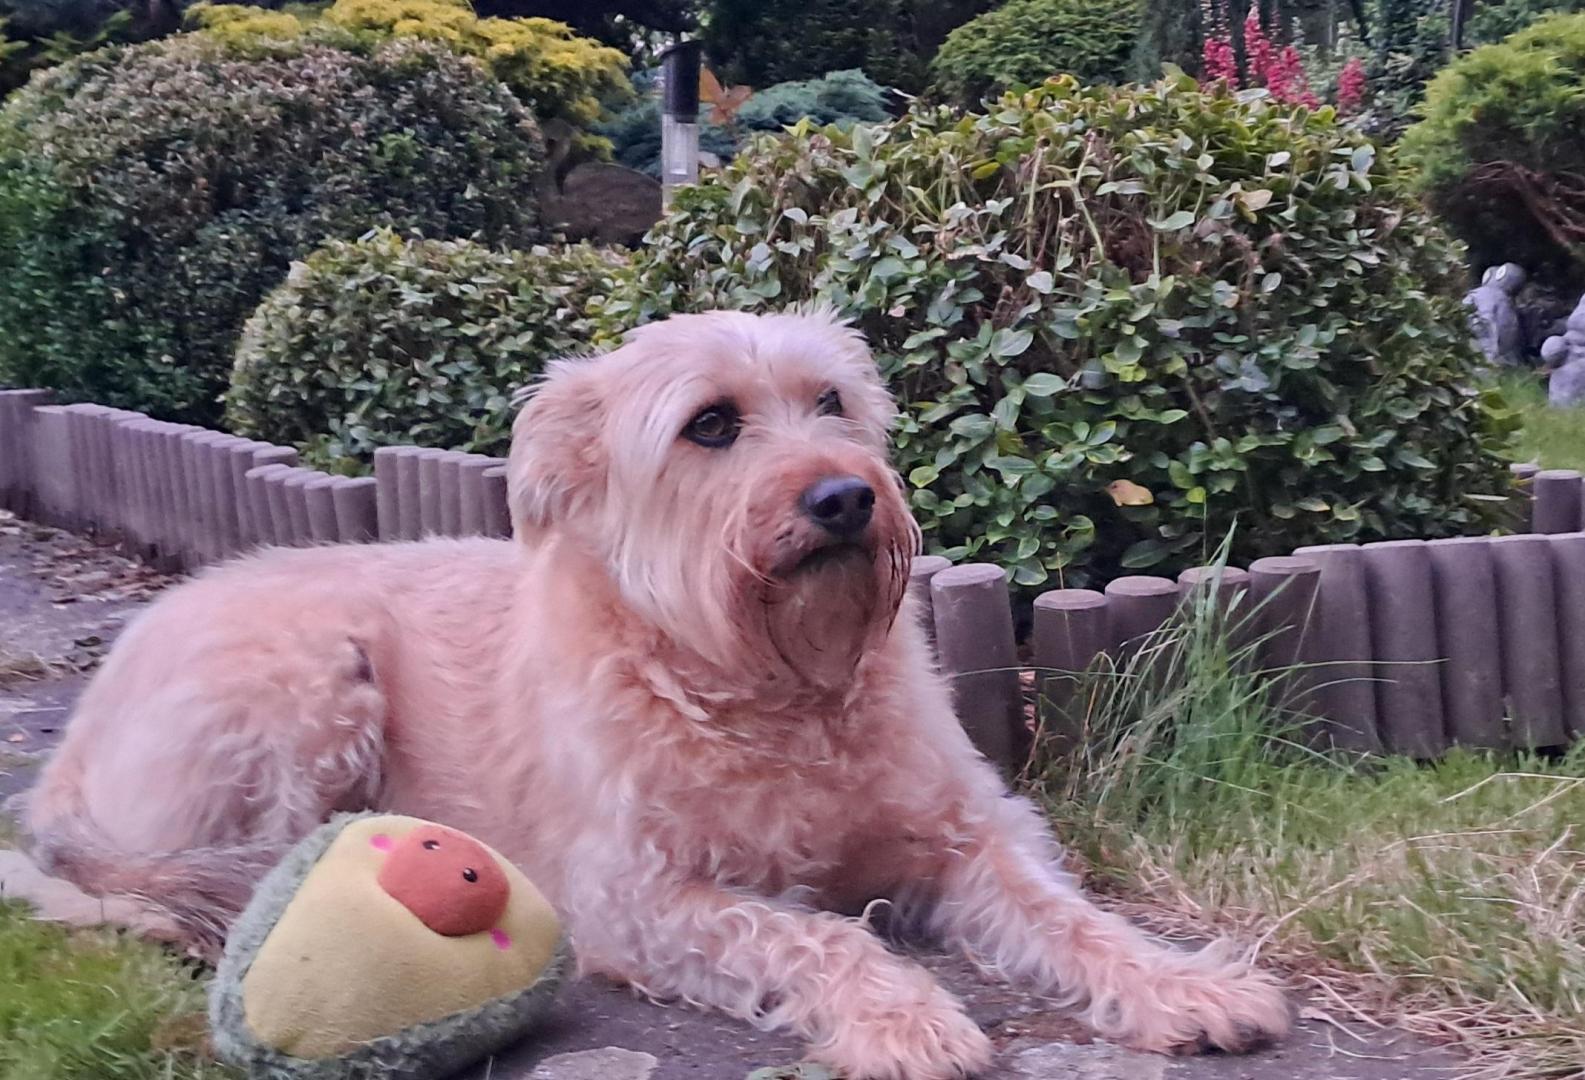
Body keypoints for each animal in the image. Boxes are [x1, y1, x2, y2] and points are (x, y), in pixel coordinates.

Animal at [27, 309, 1290, 1079]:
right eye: (711, 425)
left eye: (831, 402)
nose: (845, 499)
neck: (772, 683)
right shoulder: (637, 897)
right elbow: (811, 937)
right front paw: (902, 1013)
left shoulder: (973, 832)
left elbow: (1068, 915)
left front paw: (1182, 983)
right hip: (308, 681)